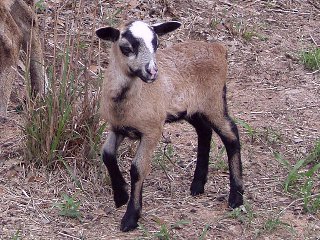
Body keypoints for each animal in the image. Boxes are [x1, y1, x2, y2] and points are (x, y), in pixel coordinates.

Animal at [96, 21, 244, 232]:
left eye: (156, 45)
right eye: (126, 48)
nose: (152, 72)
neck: (127, 99)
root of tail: (218, 48)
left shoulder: (152, 131)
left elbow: (138, 168)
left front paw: (131, 217)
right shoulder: (118, 127)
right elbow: (107, 154)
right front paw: (121, 196)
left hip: (213, 102)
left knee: (231, 135)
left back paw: (236, 197)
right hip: (192, 109)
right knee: (204, 131)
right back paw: (197, 185)